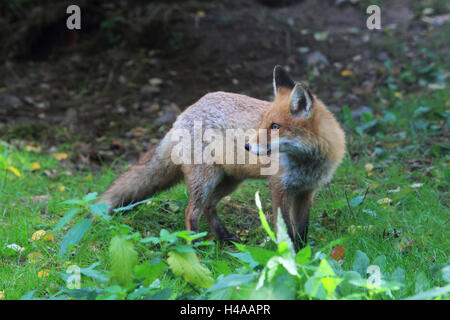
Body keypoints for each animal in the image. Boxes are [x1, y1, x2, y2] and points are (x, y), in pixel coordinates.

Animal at [98, 66, 344, 249]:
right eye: (263, 123)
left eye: (275, 126)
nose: (247, 145)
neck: (307, 163)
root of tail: (185, 112)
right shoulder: (279, 187)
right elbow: (287, 231)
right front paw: (290, 258)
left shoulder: (307, 191)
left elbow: (302, 230)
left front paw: (305, 257)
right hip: (205, 180)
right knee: (192, 211)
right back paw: (194, 249)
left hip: (230, 180)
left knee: (209, 207)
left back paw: (224, 238)